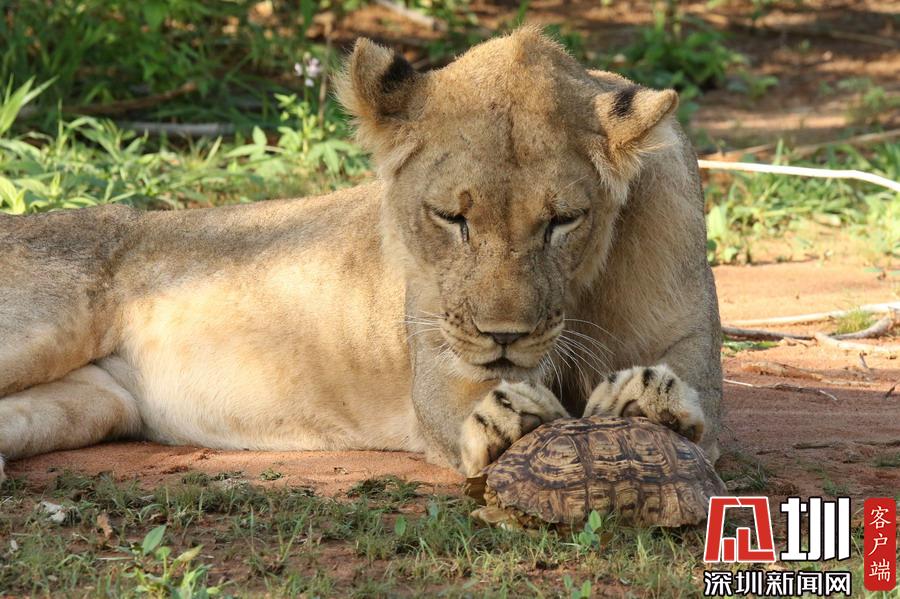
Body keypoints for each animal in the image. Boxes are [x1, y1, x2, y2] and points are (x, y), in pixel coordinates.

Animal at [0, 27, 722, 481]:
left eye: (563, 221)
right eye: (452, 218)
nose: (505, 336)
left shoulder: (683, 338)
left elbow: (694, 399)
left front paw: (648, 400)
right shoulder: (443, 362)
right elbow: (476, 400)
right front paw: (512, 418)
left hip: (89, 403)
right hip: (44, 328)